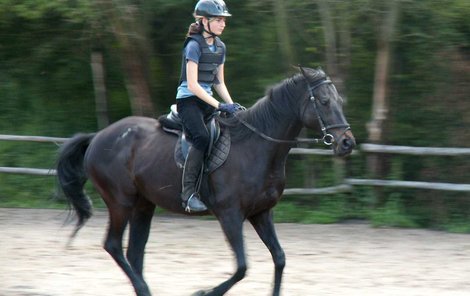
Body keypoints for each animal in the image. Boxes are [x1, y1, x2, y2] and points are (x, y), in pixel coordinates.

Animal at [57, 67, 354, 296]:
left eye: (340, 101)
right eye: (324, 102)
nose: (347, 143)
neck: (257, 147)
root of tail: (98, 137)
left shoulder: (261, 213)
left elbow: (279, 259)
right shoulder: (230, 214)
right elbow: (242, 267)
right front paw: (204, 292)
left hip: (144, 205)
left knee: (134, 253)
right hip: (121, 203)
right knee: (113, 245)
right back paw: (143, 288)